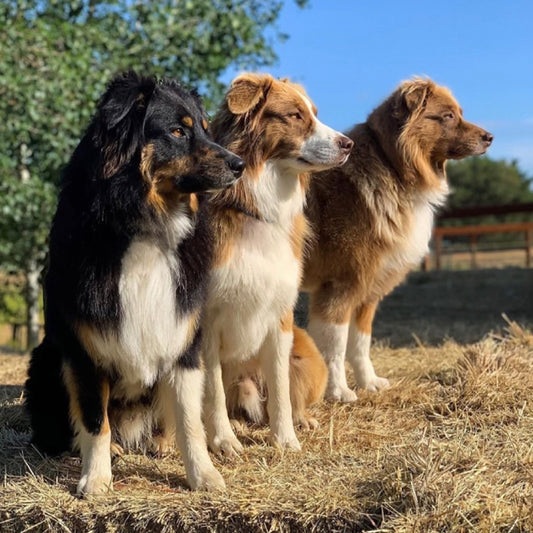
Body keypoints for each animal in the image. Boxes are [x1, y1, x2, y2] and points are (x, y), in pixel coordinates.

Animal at [23, 71, 242, 494]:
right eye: (177, 131)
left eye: (204, 129)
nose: (239, 164)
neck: (145, 223)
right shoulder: (84, 349)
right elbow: (95, 420)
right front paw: (96, 478)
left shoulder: (183, 340)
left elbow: (189, 419)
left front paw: (202, 474)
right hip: (46, 359)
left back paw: (160, 443)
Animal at [204, 74, 354, 454]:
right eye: (295, 115)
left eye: (315, 113)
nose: (349, 144)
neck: (254, 206)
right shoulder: (204, 322)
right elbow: (212, 388)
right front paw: (223, 440)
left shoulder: (279, 314)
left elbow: (280, 386)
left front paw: (285, 438)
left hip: (311, 358)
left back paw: (301, 419)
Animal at [302, 77, 492, 402]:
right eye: (448, 116)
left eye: (459, 114)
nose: (490, 137)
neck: (392, 167)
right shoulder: (340, 286)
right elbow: (334, 346)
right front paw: (338, 392)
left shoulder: (368, 290)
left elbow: (360, 342)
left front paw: (369, 382)